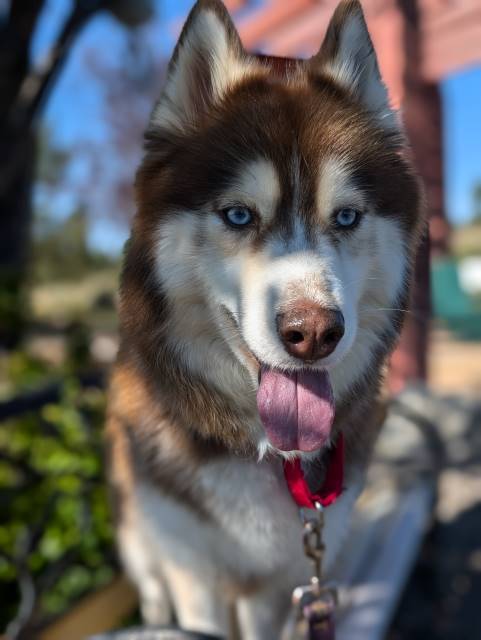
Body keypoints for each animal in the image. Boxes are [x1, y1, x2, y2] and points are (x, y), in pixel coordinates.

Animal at [108, 1, 424, 636]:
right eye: (238, 215)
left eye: (346, 216)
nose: (314, 334)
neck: (257, 449)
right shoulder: (193, 573)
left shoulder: (278, 584)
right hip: (141, 538)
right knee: (150, 587)